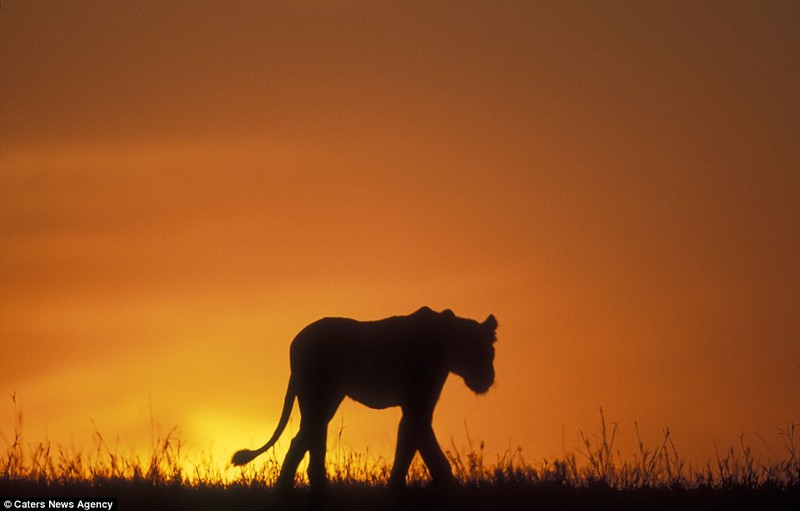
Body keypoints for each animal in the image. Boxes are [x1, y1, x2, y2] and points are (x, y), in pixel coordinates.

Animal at [228, 308, 496, 492]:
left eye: (491, 351)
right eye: (481, 350)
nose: (489, 378)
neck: (447, 345)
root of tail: (296, 343)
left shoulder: (418, 407)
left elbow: (415, 445)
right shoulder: (416, 407)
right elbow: (417, 446)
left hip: (323, 401)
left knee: (306, 440)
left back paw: (303, 488)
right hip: (319, 396)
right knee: (305, 441)